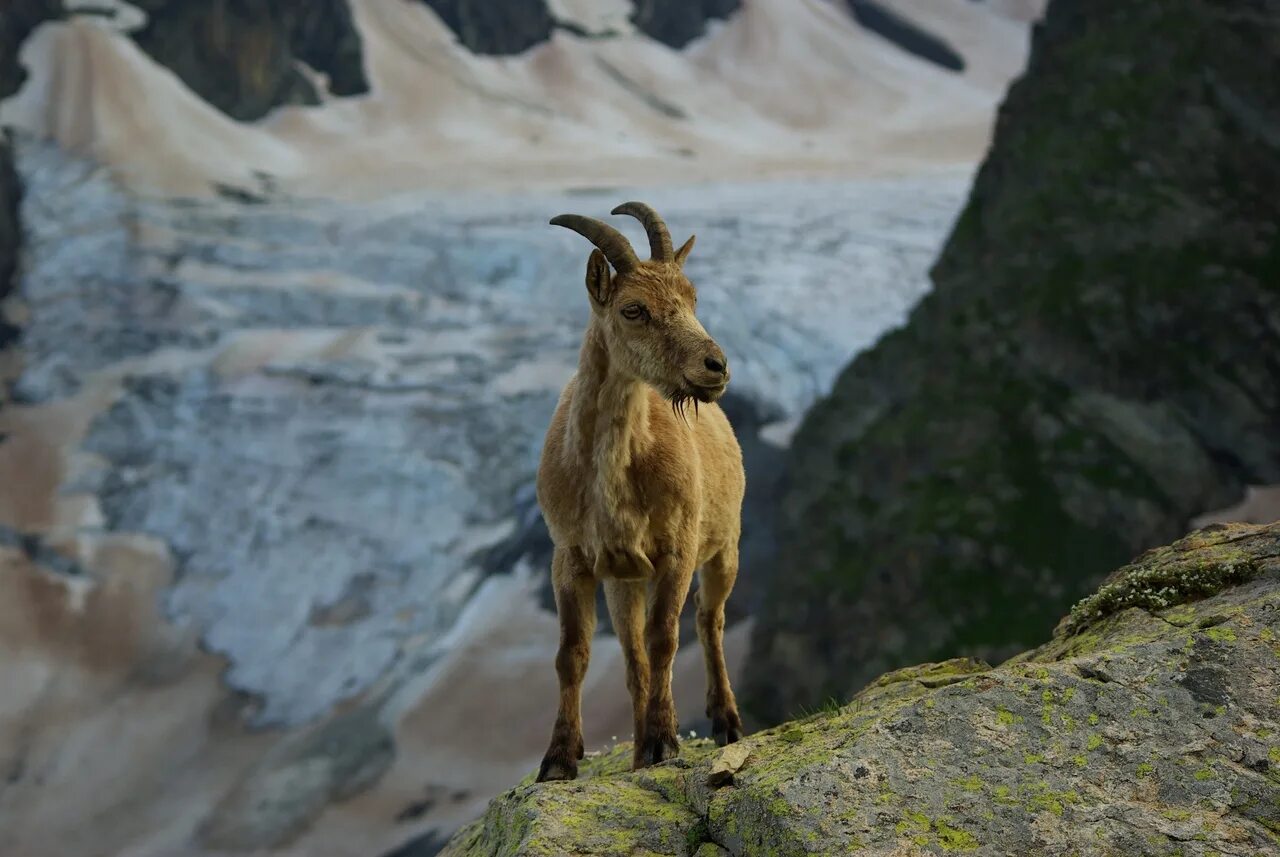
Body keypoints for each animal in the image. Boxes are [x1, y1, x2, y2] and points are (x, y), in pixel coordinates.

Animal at [532, 203, 747, 787]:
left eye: (692, 297)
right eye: (633, 309)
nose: (716, 366)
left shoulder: (677, 549)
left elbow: (666, 638)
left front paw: (663, 740)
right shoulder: (572, 558)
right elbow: (573, 652)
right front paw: (558, 759)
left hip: (725, 547)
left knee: (709, 621)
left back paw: (726, 720)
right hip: (623, 581)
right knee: (633, 661)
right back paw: (633, 756)